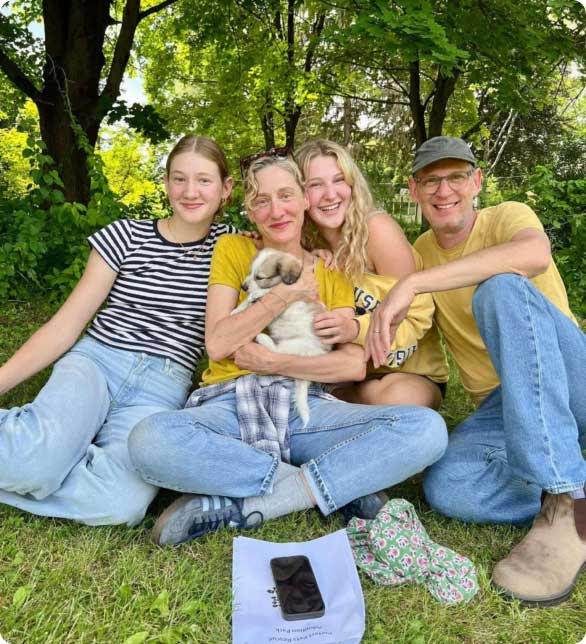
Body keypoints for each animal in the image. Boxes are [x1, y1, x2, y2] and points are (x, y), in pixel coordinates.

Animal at [234, 249, 334, 426]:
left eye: (260, 277)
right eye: (250, 272)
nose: (243, 287)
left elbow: (270, 291)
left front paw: (258, 293)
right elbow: (246, 303)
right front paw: (237, 310)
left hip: (295, 344)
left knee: (277, 352)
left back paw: (262, 338)